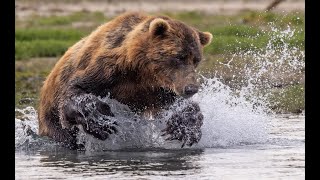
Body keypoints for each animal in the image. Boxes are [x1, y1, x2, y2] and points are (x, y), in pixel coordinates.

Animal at [38, 11, 212, 149]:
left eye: (196, 60)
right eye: (179, 57)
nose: (191, 88)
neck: (141, 71)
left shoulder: (159, 90)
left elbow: (178, 107)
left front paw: (183, 129)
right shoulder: (108, 69)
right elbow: (76, 90)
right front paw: (102, 121)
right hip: (51, 118)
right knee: (64, 136)